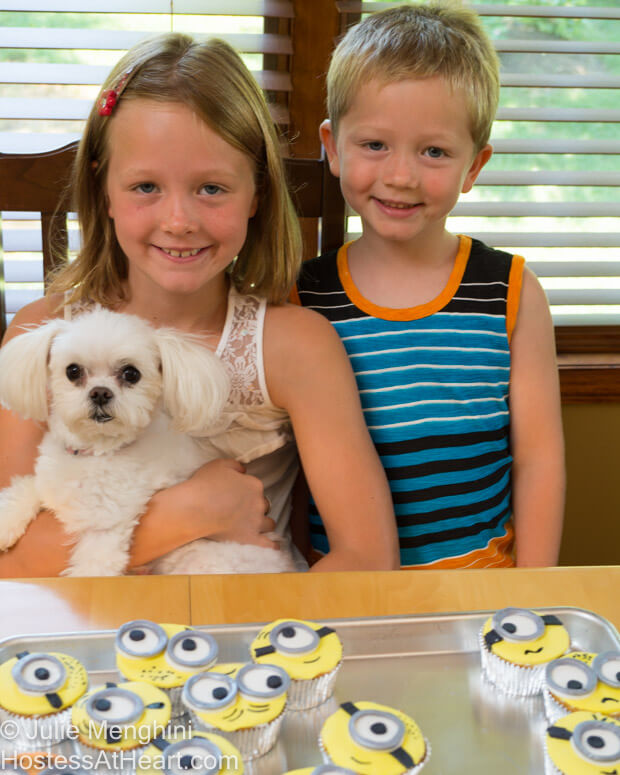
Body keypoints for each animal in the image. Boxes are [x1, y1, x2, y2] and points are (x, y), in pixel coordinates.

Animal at [0, 308, 298, 576]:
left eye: (131, 374)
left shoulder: (105, 527)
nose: (100, 393)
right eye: (72, 371)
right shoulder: (51, 481)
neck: (96, 453)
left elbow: (93, 568)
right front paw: (6, 524)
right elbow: (25, 487)